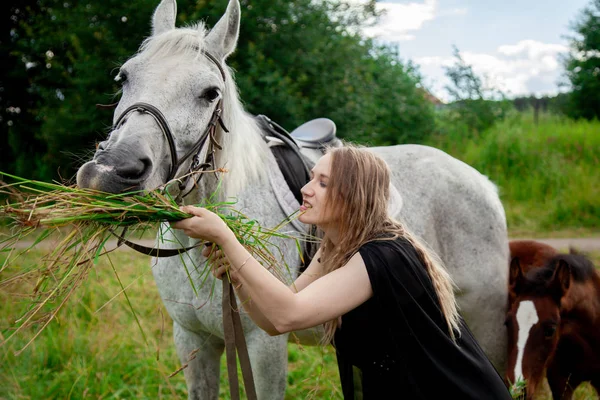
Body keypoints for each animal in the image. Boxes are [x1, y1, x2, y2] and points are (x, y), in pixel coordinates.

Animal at [74, 1, 506, 398]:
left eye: (210, 93)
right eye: (124, 77)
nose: (111, 171)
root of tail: (481, 182)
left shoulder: (264, 347)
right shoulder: (193, 341)